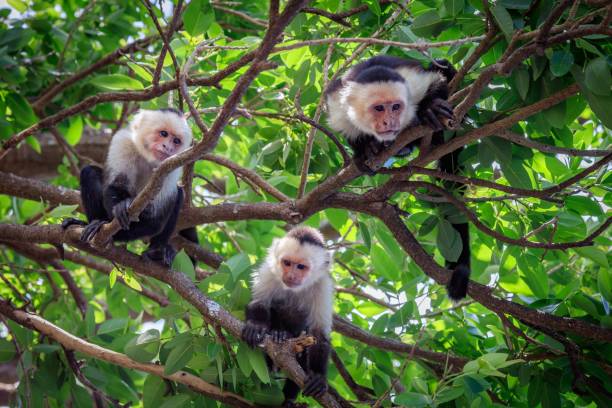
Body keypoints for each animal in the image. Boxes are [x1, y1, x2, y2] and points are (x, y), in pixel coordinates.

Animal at [61, 108, 197, 266]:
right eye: (164, 133)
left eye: (176, 141)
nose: (168, 147)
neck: (148, 157)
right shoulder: (123, 142)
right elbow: (116, 185)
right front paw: (119, 207)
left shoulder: (172, 165)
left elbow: (155, 220)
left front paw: (116, 233)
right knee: (90, 172)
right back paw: (92, 222)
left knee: (178, 195)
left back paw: (157, 251)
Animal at [241, 226, 334, 404]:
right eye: (287, 263)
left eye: (301, 267)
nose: (290, 276)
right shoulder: (269, 273)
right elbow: (259, 303)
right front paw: (256, 326)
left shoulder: (322, 286)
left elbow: (318, 333)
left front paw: (318, 376)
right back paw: (279, 334)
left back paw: (289, 399)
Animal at [326, 55, 468, 300]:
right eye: (379, 108)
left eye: (396, 107)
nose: (390, 122)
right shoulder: (337, 103)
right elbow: (347, 129)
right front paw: (364, 150)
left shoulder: (412, 84)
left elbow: (435, 81)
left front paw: (430, 107)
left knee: (441, 64)